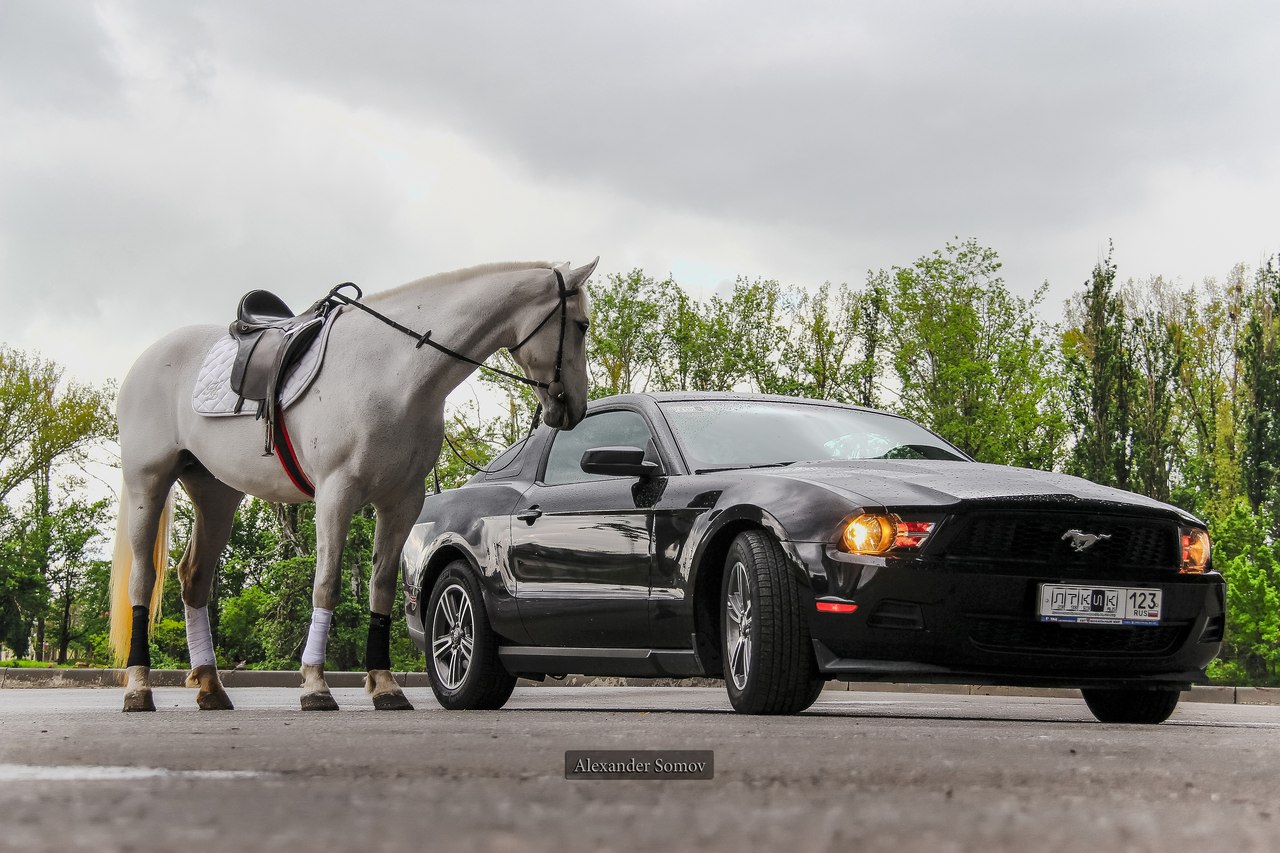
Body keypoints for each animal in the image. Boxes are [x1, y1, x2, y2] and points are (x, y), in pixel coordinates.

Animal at [108, 258, 593, 712]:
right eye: (581, 325)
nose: (574, 407)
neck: (393, 370)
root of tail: (148, 358)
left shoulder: (401, 502)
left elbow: (381, 588)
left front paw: (384, 684)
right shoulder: (336, 495)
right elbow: (326, 584)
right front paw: (315, 685)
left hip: (216, 495)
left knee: (194, 579)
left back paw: (210, 686)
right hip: (148, 484)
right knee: (143, 580)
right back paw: (139, 687)